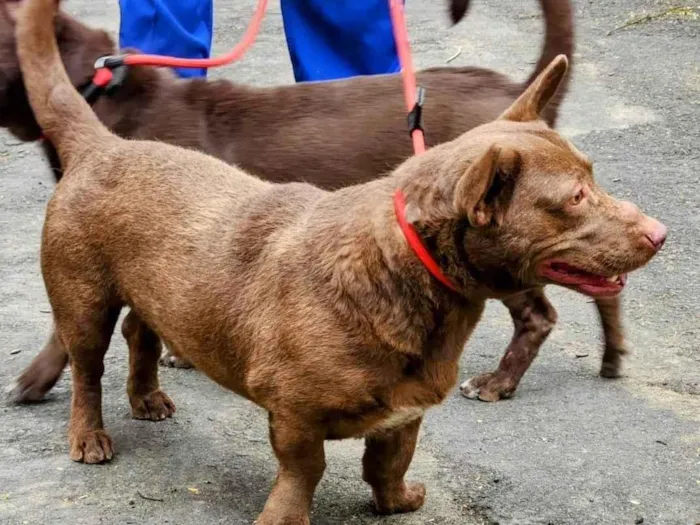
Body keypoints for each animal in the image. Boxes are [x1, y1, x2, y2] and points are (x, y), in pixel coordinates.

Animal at [13, 0, 664, 520]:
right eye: (574, 198)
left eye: (593, 177)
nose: (661, 234)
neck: (402, 273)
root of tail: (104, 146)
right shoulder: (295, 417)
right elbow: (306, 473)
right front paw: (286, 516)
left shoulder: (406, 415)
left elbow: (389, 463)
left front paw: (396, 502)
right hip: (83, 305)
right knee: (87, 372)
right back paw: (89, 436)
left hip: (152, 290)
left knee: (140, 333)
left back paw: (147, 398)